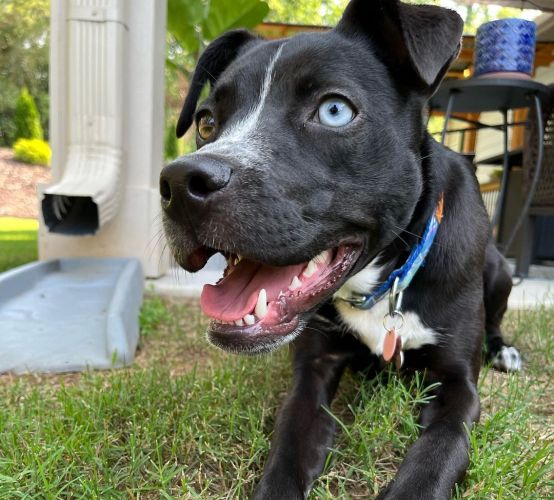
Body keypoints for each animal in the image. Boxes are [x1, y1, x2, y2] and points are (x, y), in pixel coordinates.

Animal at [158, 1, 516, 498]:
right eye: (207, 122)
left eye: (334, 111)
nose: (177, 184)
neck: (380, 286)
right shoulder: (312, 371)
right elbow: (287, 453)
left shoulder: (459, 385)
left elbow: (438, 451)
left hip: (500, 270)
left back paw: (505, 351)